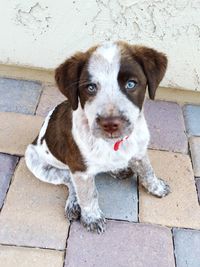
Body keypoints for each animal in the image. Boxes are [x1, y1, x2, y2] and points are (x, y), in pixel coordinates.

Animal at [25, 40, 170, 234]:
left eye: (131, 84)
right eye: (91, 87)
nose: (110, 124)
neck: (113, 143)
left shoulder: (139, 152)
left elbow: (147, 171)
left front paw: (156, 187)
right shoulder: (80, 170)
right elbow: (88, 194)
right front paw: (92, 217)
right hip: (37, 163)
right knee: (69, 181)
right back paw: (74, 203)